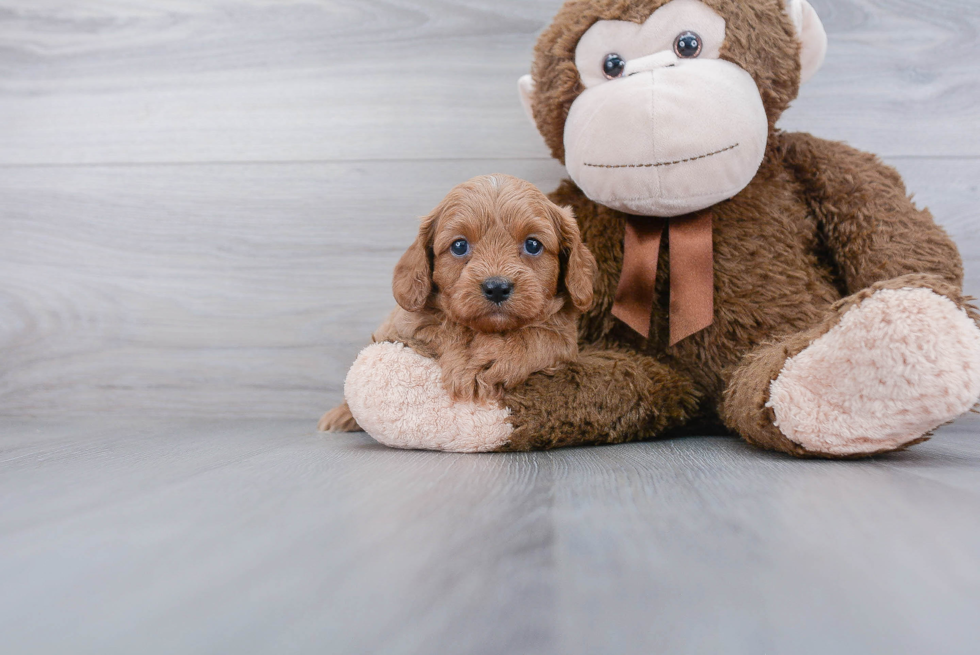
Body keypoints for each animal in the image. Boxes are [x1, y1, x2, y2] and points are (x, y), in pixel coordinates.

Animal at [322, 174, 596, 434]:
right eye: (459, 245)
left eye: (533, 244)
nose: (497, 288)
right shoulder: (408, 325)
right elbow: (449, 326)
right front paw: (469, 363)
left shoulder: (566, 339)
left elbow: (540, 335)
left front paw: (494, 356)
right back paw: (341, 415)